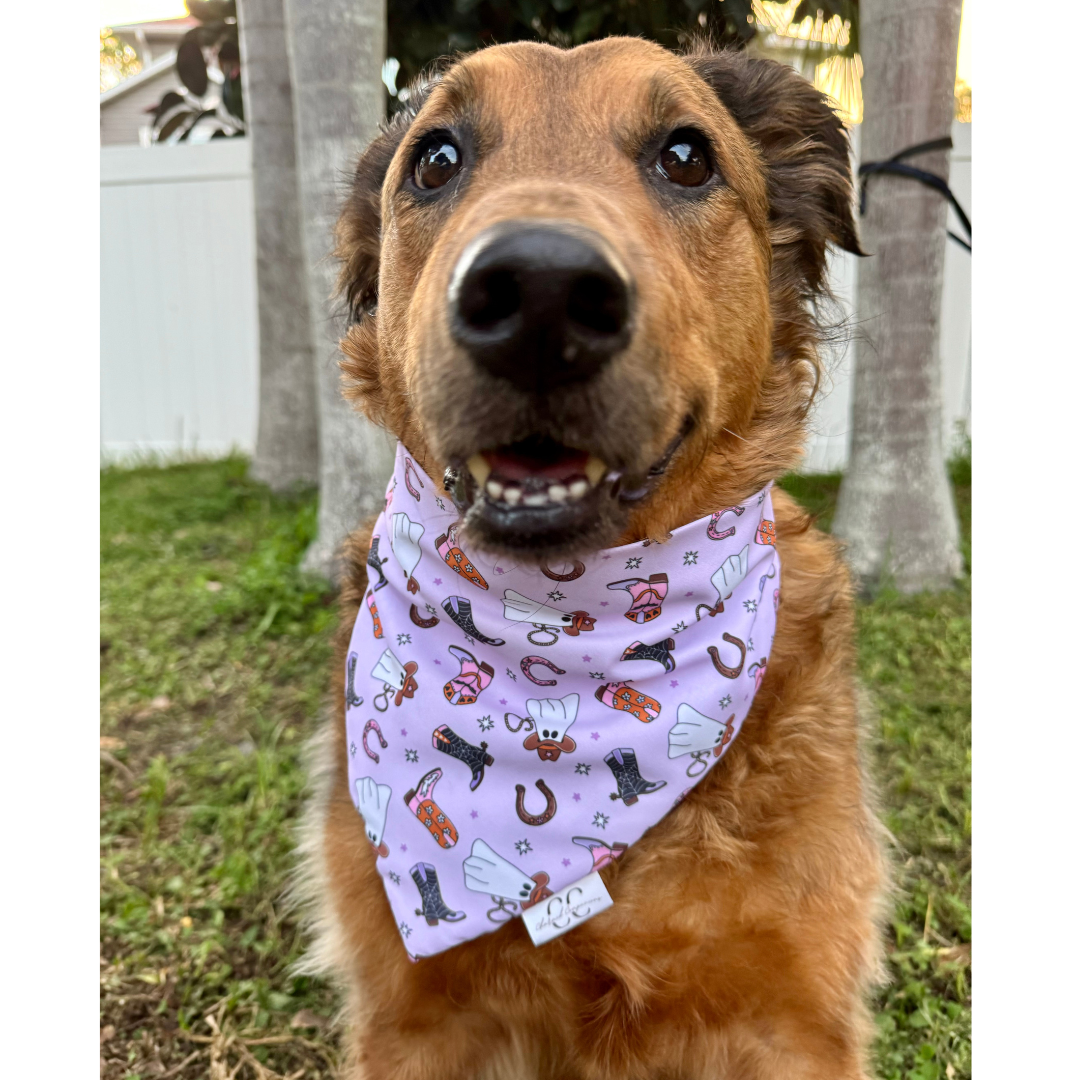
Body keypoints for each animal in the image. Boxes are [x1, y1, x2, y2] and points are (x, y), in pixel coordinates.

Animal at [302, 38, 885, 1080]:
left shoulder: (797, 1020)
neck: (566, 627)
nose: (539, 292)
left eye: (687, 156)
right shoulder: (411, 1022)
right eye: (436, 159)